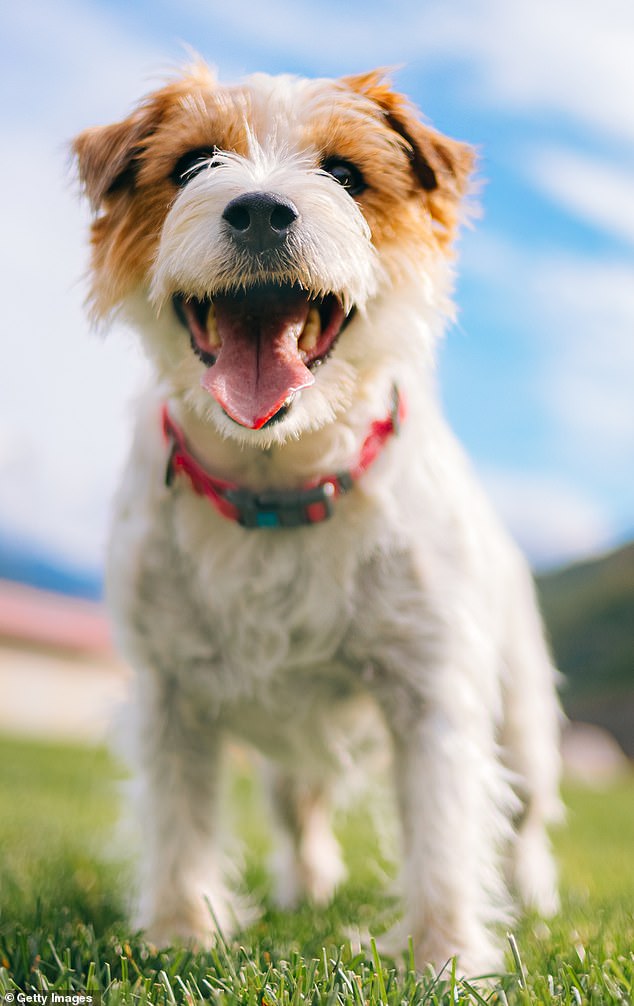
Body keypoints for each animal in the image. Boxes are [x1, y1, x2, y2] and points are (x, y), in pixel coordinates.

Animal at [71, 60, 563, 973]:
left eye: (345, 173)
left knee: (526, 816)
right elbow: (181, 822)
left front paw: (446, 960)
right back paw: (309, 889)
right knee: (300, 811)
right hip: (288, 749)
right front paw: (180, 937)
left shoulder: (431, 688)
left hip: (522, 716)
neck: (277, 487)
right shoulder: (170, 693)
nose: (261, 209)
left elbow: (443, 833)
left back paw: (539, 895)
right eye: (193, 163)